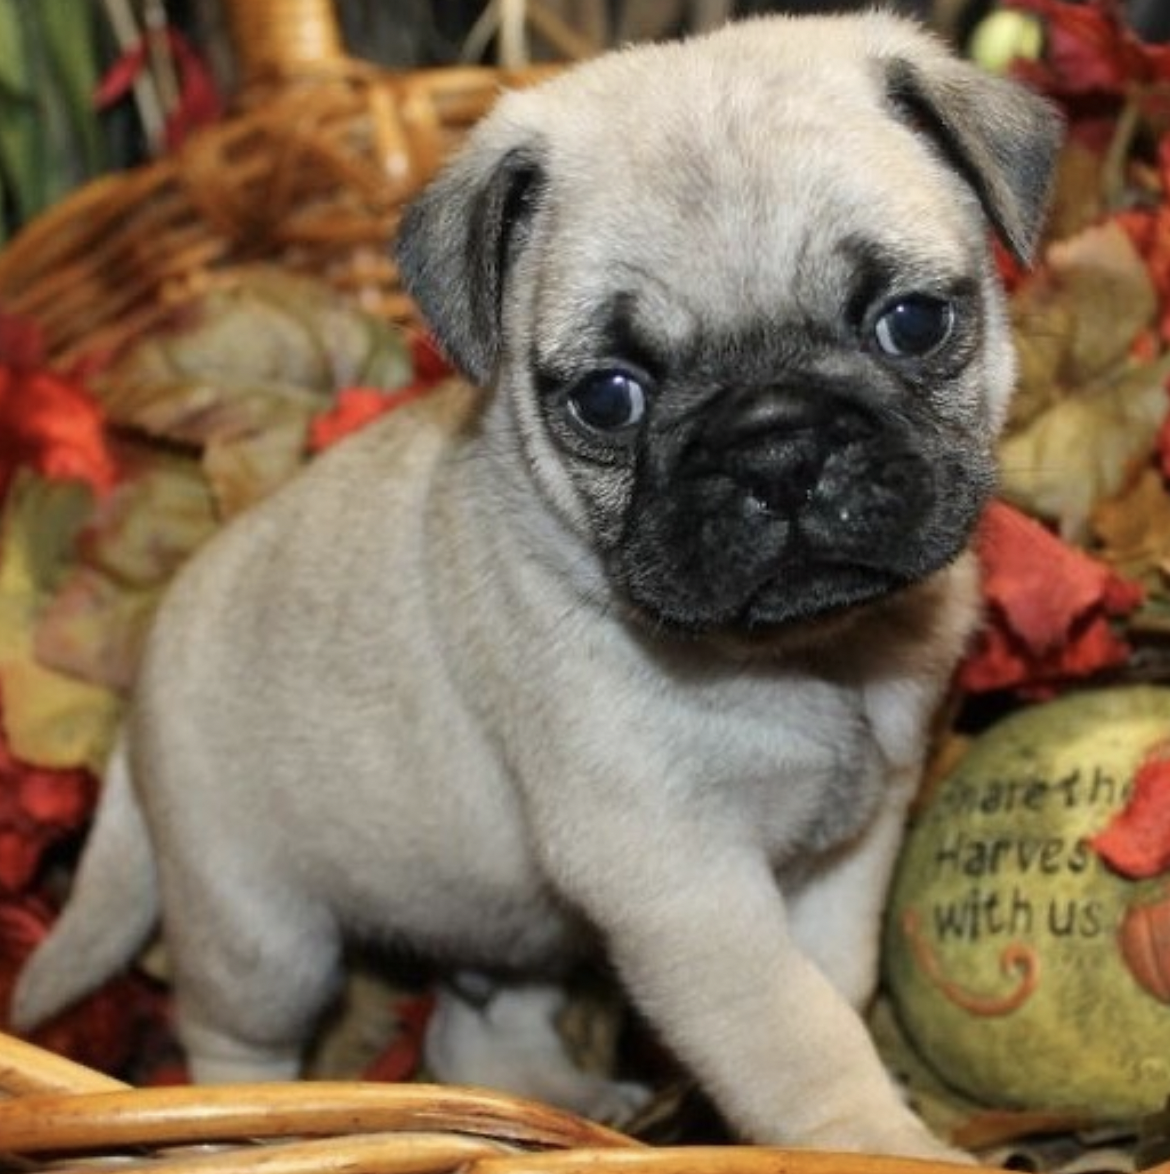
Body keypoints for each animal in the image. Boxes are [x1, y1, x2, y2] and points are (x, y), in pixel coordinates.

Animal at [12, 12, 1060, 1158]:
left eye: (912, 322)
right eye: (608, 397)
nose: (776, 446)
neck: (809, 654)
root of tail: (141, 692)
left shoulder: (849, 846)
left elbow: (836, 980)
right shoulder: (683, 882)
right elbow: (796, 1029)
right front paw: (868, 1140)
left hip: (499, 928)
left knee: (471, 1030)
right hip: (260, 935)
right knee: (230, 1045)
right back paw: (234, 1132)